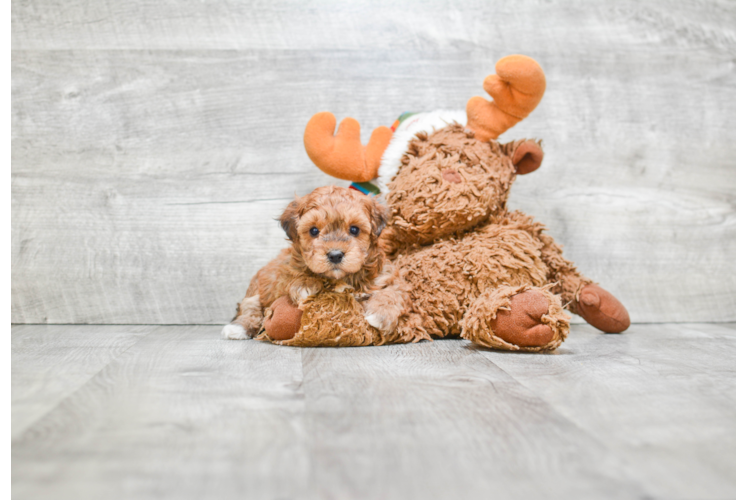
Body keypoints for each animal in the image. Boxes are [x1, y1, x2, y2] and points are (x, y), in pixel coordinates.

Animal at [222, 186, 410, 342]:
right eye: (314, 231)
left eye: (354, 229)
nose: (335, 255)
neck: (340, 279)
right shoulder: (282, 276)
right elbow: (296, 275)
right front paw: (306, 284)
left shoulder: (387, 275)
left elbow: (394, 291)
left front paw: (381, 314)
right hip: (255, 291)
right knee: (250, 308)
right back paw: (237, 328)